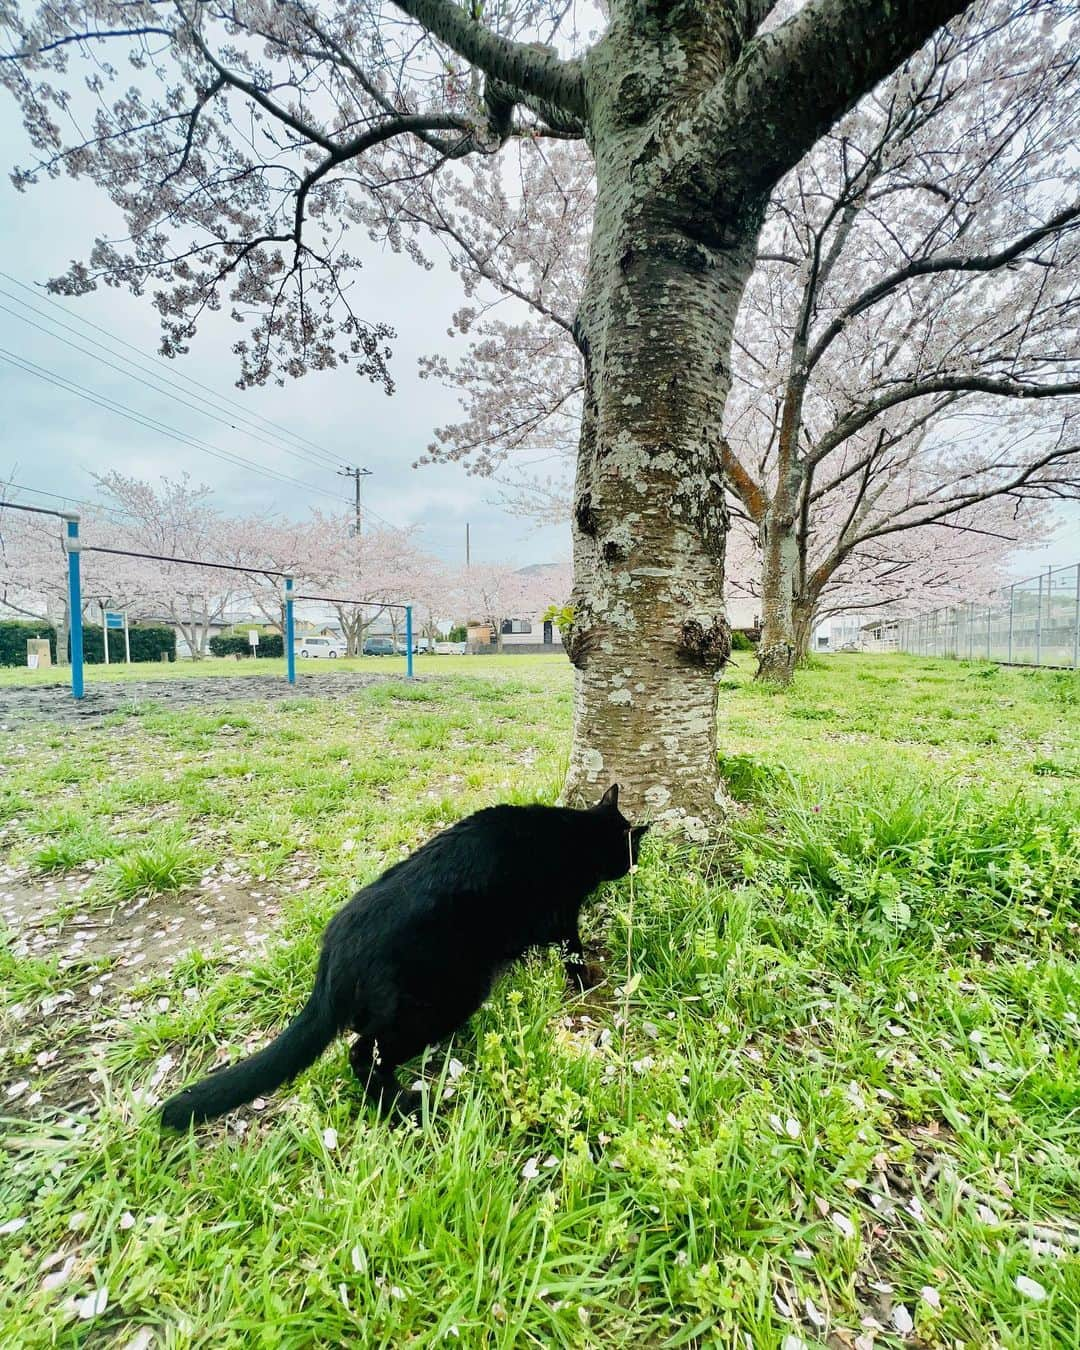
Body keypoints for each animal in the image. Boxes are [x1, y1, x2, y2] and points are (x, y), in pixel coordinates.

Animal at [162, 783, 642, 1128]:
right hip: (444, 998)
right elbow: (573, 951)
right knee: (363, 1053)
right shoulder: (562, 916)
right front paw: (584, 980)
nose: (634, 864)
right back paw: (402, 1107)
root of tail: (335, 950)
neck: (575, 834)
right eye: (630, 851)